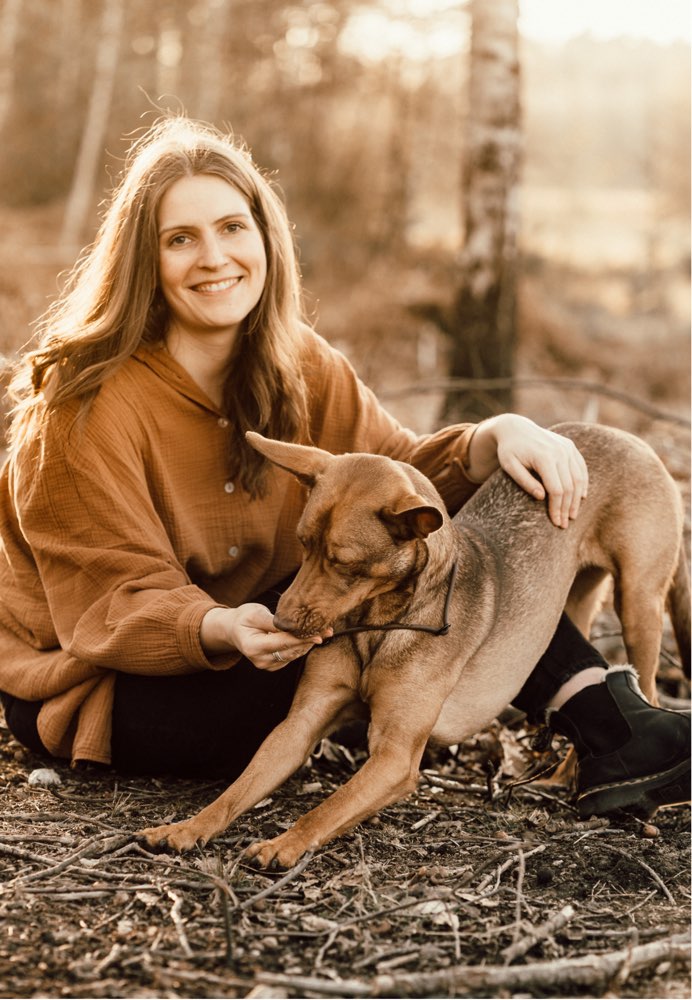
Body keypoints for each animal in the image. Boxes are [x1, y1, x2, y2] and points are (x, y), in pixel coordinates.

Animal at [141, 422, 690, 867]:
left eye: (344, 563)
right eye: (303, 545)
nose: (281, 620)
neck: (379, 624)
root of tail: (626, 435)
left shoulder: (395, 757)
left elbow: (329, 807)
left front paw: (285, 844)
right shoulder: (299, 726)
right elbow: (239, 789)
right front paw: (188, 827)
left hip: (638, 600)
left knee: (644, 680)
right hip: (565, 605)